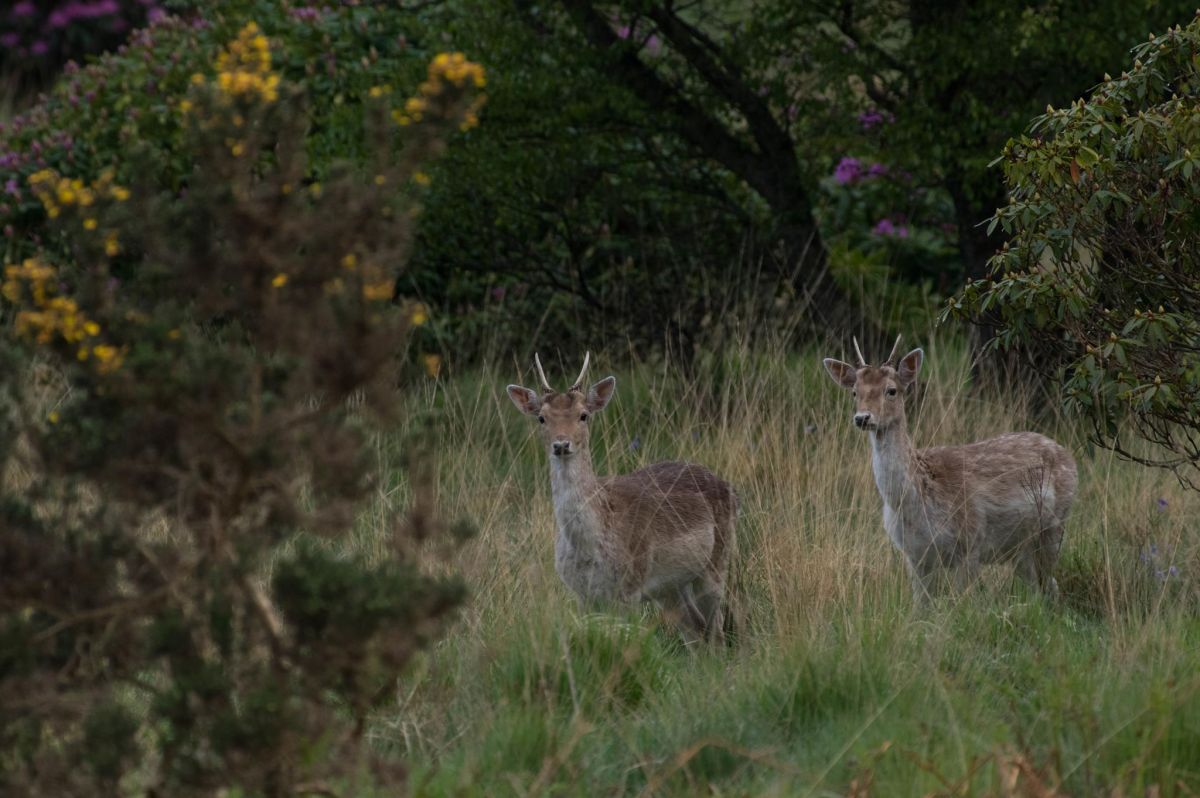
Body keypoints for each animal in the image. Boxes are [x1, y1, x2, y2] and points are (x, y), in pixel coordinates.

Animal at [501, 352, 734, 643]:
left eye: (584, 415)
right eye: (541, 418)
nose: (561, 444)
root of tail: (725, 484)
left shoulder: (629, 587)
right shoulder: (582, 593)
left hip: (717, 561)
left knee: (715, 628)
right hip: (670, 586)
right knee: (694, 626)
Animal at [825, 336, 1080, 604]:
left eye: (891, 390)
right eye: (855, 392)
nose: (862, 417)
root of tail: (1067, 454)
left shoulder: (971, 542)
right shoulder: (914, 556)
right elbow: (921, 606)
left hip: (1056, 524)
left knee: (1050, 583)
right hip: (1021, 548)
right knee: (1040, 585)